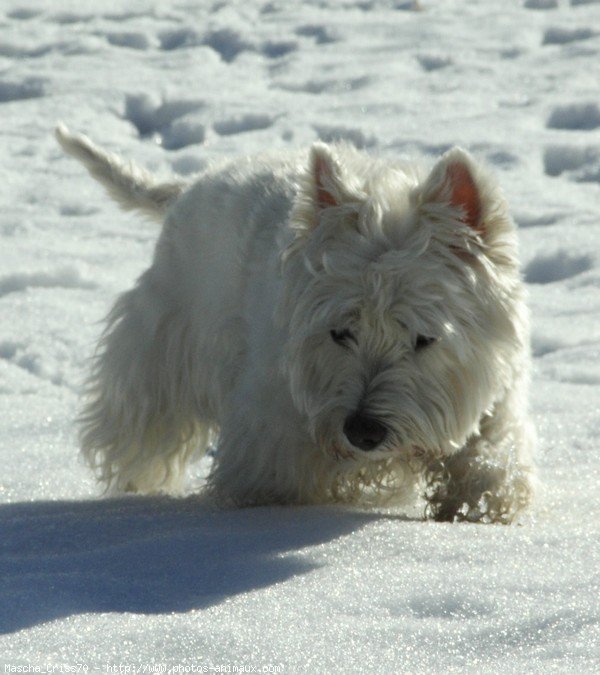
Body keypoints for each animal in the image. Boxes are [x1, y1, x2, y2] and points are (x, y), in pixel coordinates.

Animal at [55, 125, 536, 524]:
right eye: (340, 333)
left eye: (424, 338)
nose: (362, 431)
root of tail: (188, 187)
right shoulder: (273, 433)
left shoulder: (497, 398)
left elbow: (492, 457)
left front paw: (480, 499)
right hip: (160, 342)